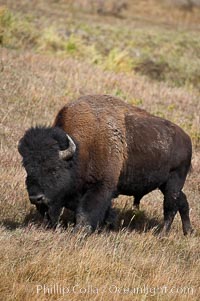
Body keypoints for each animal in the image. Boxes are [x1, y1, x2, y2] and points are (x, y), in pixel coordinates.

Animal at [18, 94, 193, 234]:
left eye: (54, 169)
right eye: (28, 169)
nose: (36, 198)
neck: (81, 148)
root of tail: (186, 138)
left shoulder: (101, 186)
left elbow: (86, 211)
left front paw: (80, 232)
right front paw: (108, 225)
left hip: (173, 182)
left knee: (170, 207)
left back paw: (162, 234)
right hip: (165, 184)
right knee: (182, 201)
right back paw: (188, 232)